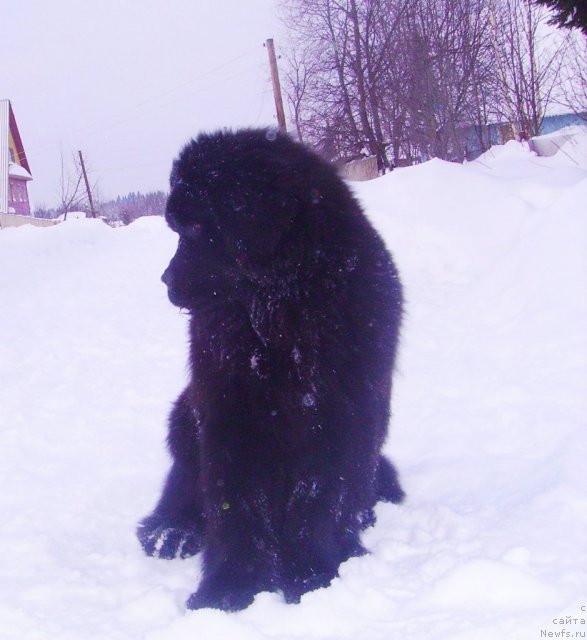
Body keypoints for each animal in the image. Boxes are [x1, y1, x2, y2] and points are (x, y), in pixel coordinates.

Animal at [138, 129, 404, 608]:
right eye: (179, 230)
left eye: (197, 229)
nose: (166, 280)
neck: (282, 309)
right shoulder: (227, 412)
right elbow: (235, 505)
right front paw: (229, 588)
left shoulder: (340, 411)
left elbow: (318, 498)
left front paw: (312, 574)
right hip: (184, 414)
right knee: (184, 480)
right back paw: (171, 530)